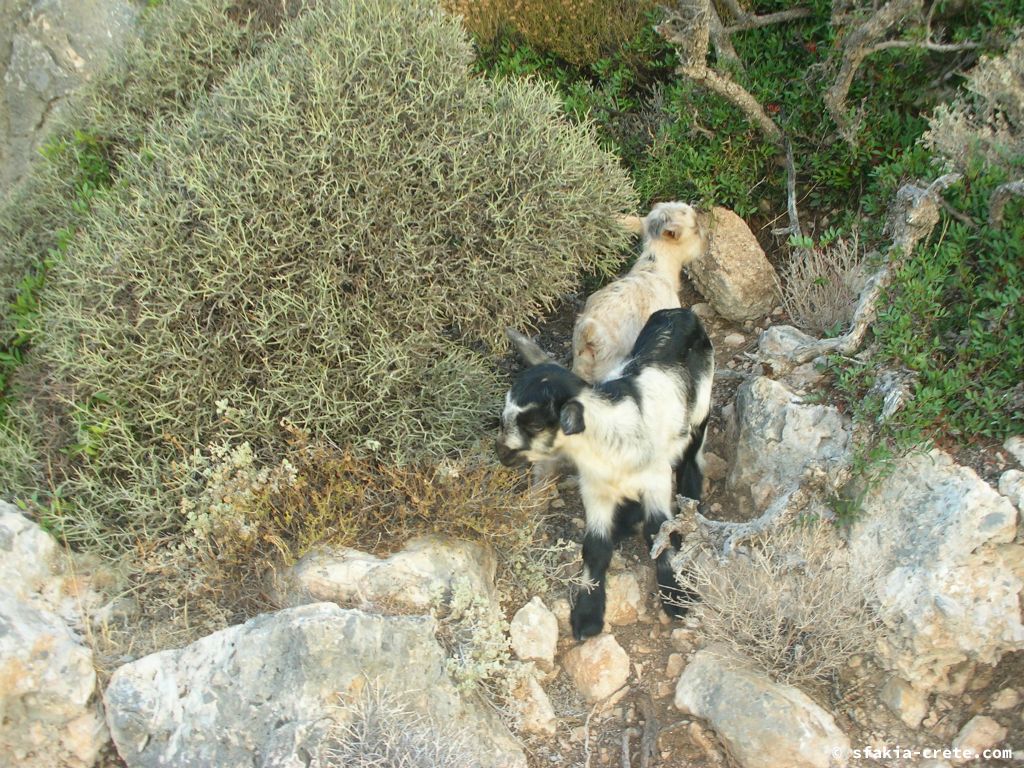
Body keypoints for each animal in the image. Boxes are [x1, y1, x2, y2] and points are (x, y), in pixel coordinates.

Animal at [495, 309, 712, 638]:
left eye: (534, 424)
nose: (501, 453)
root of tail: (682, 313)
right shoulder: (596, 488)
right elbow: (595, 548)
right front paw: (587, 615)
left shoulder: (657, 480)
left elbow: (657, 534)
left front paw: (676, 598)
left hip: (701, 406)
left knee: (692, 458)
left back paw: (688, 507)